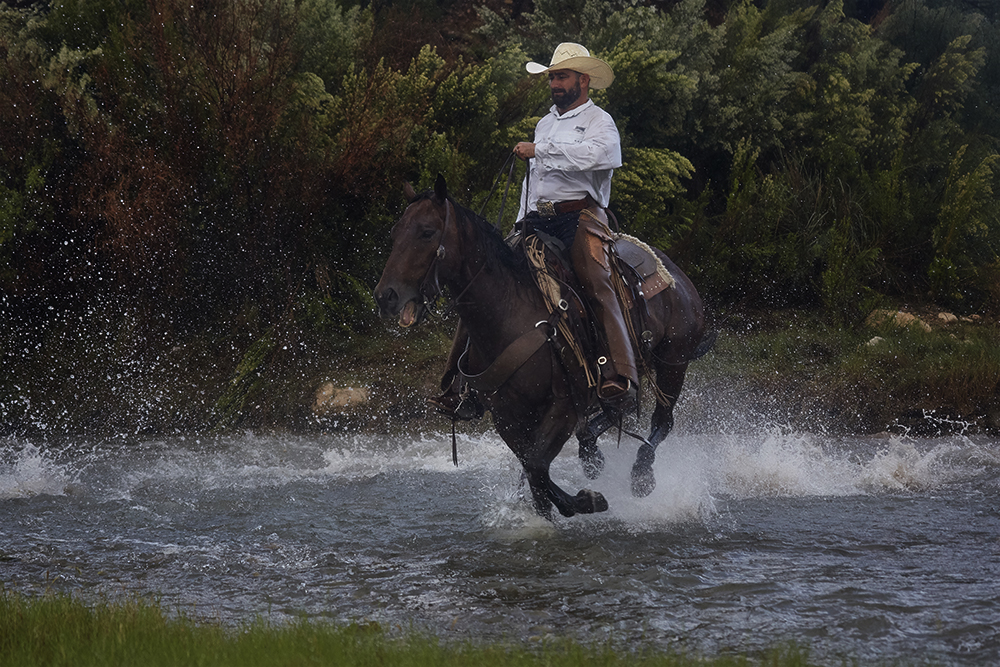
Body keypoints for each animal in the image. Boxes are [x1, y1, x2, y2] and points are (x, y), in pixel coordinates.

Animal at [376, 175, 712, 520]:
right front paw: (567, 503)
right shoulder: (506, 415)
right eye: (395, 233)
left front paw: (586, 501)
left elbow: (537, 466)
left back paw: (641, 476)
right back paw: (591, 453)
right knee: (620, 407)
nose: (386, 296)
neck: (510, 313)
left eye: (427, 232)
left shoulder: (563, 407)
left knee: (661, 420)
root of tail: (673, 271)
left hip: (674, 362)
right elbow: (533, 469)